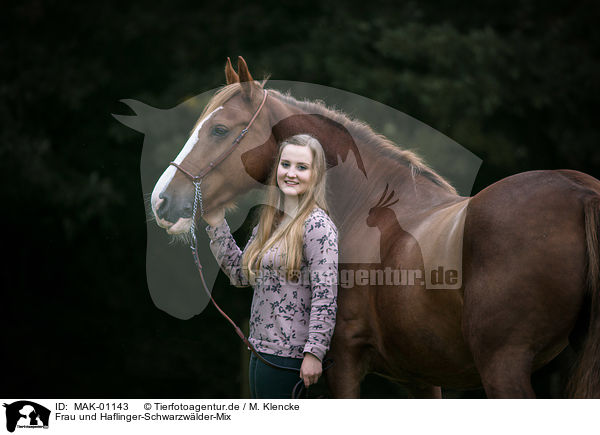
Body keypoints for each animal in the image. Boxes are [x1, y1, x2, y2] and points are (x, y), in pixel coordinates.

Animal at [150, 57, 600, 398]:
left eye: (219, 129)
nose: (162, 200)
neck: (364, 209)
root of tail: (580, 194)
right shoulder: (421, 377)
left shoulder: (344, 360)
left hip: (503, 365)